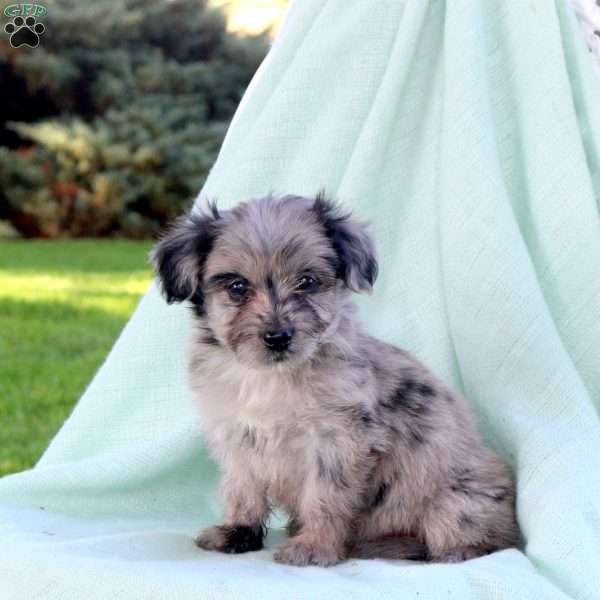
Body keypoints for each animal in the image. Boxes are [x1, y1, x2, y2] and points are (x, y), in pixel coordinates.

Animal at [151, 193, 520, 568]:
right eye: (237, 287)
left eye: (307, 282)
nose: (278, 336)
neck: (272, 377)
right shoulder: (237, 438)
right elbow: (242, 491)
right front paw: (238, 533)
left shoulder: (337, 442)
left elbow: (325, 498)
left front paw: (315, 545)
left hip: (457, 502)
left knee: (469, 538)